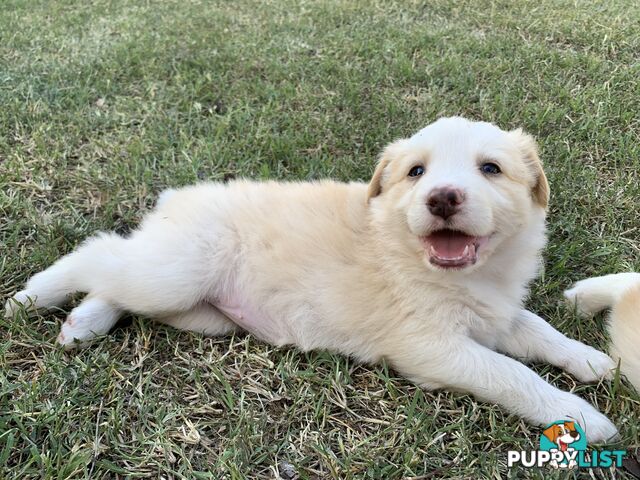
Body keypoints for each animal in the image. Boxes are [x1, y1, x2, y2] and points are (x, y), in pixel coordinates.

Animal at [2, 118, 616, 440]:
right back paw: (30, 297)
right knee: (98, 253)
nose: (441, 197)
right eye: (416, 172)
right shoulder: (433, 347)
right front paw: (583, 418)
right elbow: (514, 375)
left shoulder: (496, 314)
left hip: (200, 311)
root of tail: (175, 200)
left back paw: (83, 322)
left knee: (116, 280)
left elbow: (536, 330)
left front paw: (592, 360)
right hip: (176, 271)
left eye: (491, 169)